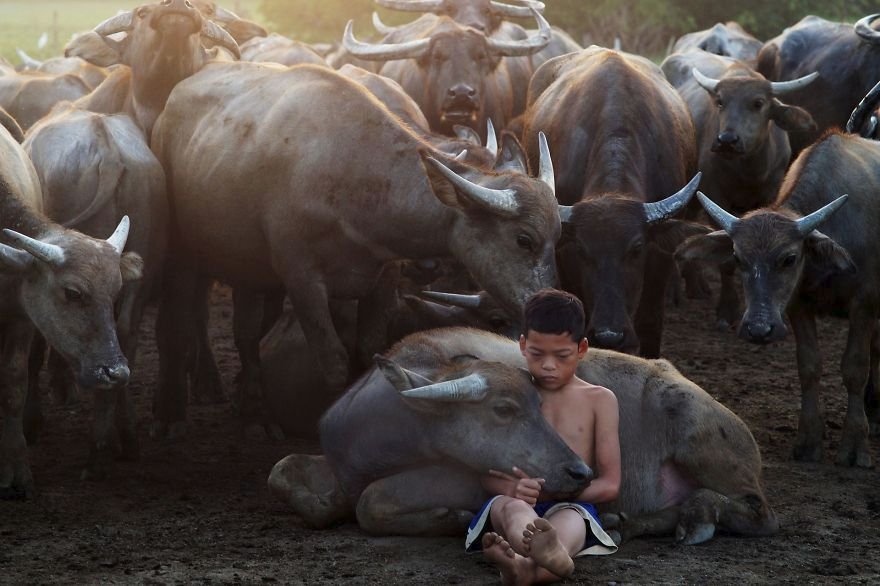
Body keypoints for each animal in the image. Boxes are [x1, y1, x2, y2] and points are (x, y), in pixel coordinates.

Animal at [0, 125, 143, 496]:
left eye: (116, 291)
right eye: (73, 292)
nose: (116, 373)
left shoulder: (21, 318)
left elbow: (13, 386)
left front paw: (16, 472)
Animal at [268, 324, 776, 544]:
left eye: (537, 405)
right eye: (505, 409)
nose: (579, 472)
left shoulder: (463, 479)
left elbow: (370, 501)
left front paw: (448, 518)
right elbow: (282, 470)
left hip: (701, 439)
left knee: (758, 511)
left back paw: (699, 515)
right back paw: (627, 522)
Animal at [676, 128, 876, 466]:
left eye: (789, 258)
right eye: (738, 257)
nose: (759, 329)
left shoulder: (864, 303)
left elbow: (854, 368)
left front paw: (854, 445)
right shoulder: (798, 305)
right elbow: (809, 366)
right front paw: (809, 440)